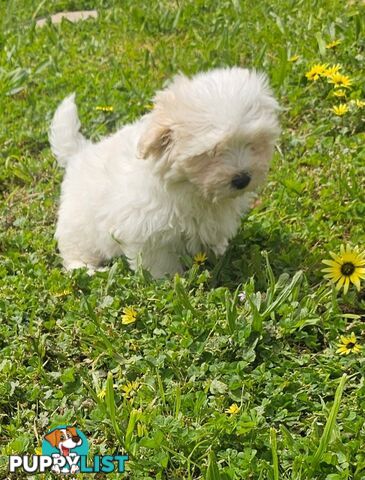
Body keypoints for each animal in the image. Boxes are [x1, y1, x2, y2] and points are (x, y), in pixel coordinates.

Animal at [50, 67, 278, 278]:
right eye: (211, 153)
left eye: (253, 143)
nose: (243, 179)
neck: (189, 187)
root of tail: (79, 153)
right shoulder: (146, 228)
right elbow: (158, 260)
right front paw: (166, 279)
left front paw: (218, 255)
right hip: (78, 224)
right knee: (75, 251)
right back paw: (86, 269)